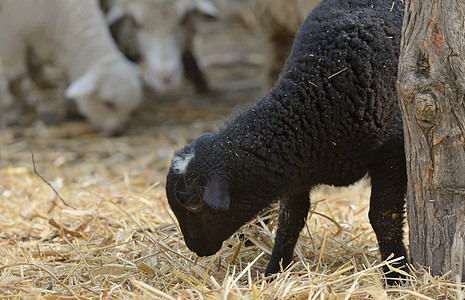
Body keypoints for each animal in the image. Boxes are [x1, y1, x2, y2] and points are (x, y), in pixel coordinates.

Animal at [0, 0, 143, 135]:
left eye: (132, 109)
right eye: (107, 103)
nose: (119, 131)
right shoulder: (11, 40)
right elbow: (15, 77)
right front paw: (10, 115)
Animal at [166, 0, 406, 282]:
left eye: (193, 204)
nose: (195, 248)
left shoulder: (392, 154)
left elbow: (384, 216)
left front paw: (397, 274)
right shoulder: (295, 169)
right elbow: (290, 219)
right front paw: (273, 271)